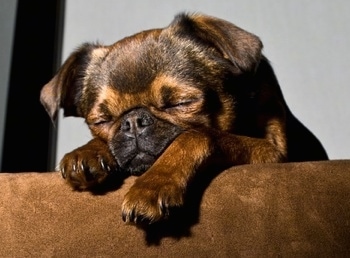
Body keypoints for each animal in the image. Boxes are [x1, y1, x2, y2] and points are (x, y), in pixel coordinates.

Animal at [41, 13, 328, 224]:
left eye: (181, 103)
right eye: (101, 121)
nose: (133, 121)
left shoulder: (274, 153)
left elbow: (197, 135)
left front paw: (153, 184)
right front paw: (88, 151)